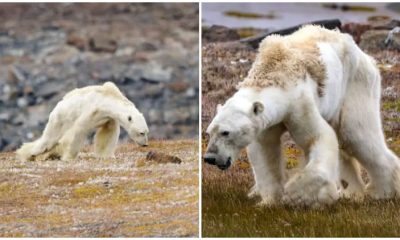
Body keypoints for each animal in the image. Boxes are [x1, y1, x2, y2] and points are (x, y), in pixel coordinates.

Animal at [16, 81, 149, 162]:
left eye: (147, 132)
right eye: (141, 133)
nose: (145, 144)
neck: (108, 98)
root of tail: (59, 104)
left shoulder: (108, 117)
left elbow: (107, 134)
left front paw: (107, 155)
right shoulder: (92, 111)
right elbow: (79, 130)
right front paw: (68, 157)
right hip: (59, 118)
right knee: (49, 139)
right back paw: (30, 154)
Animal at [203, 25, 400, 207]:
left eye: (226, 132)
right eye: (209, 132)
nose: (210, 158)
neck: (274, 73)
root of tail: (366, 57)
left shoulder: (299, 104)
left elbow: (318, 137)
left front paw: (297, 194)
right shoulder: (266, 122)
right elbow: (265, 151)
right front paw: (268, 201)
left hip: (355, 85)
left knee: (357, 134)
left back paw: (382, 192)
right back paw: (351, 192)